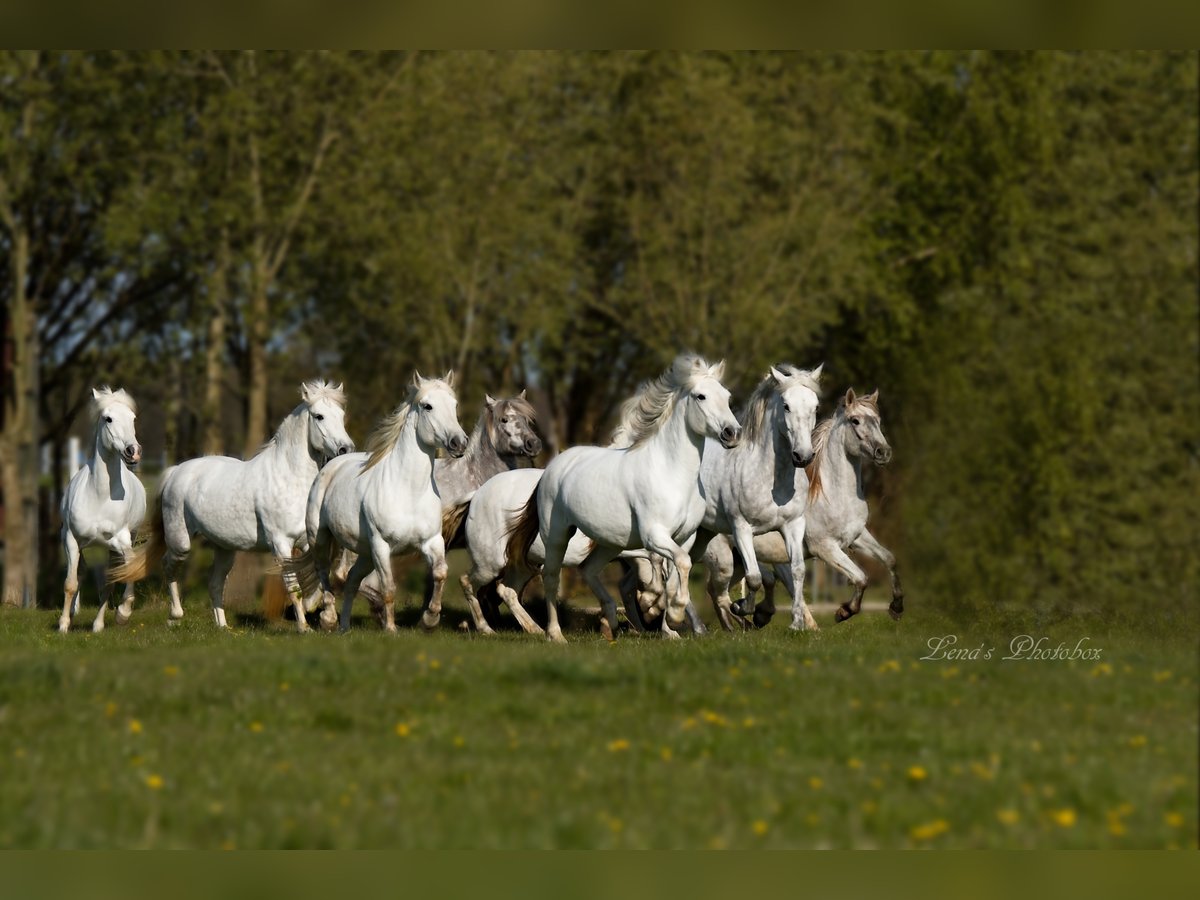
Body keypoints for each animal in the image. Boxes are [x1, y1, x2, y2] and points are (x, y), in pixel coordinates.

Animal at [58, 388, 145, 633]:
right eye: (108, 419)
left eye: (133, 419)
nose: (133, 451)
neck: (99, 496)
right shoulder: (71, 539)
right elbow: (70, 583)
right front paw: (63, 625)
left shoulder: (121, 540)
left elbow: (126, 571)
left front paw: (123, 614)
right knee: (81, 575)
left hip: (113, 547)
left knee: (107, 583)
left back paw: (98, 625)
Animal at [112, 384, 352, 628]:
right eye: (319, 416)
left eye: (341, 415)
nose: (345, 449)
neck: (288, 478)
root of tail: (176, 471)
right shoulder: (281, 543)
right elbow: (294, 588)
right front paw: (305, 627)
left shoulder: (307, 541)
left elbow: (319, 579)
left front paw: (325, 616)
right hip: (181, 542)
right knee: (168, 566)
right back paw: (172, 615)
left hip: (225, 549)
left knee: (215, 583)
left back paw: (223, 626)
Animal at [292, 374, 470, 633]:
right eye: (427, 406)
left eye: (454, 405)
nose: (459, 443)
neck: (409, 491)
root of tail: (332, 464)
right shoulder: (381, 546)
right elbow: (388, 588)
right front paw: (391, 629)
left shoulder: (432, 541)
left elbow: (440, 573)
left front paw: (429, 620)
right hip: (321, 537)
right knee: (324, 573)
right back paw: (329, 619)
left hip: (365, 554)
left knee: (351, 580)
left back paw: (344, 627)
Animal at [508, 355, 739, 643]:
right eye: (701, 396)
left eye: (727, 397)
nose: (732, 433)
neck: (672, 473)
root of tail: (553, 467)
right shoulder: (655, 536)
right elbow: (680, 566)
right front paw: (668, 613)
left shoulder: (683, 539)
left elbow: (676, 573)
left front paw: (669, 628)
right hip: (557, 533)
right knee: (551, 577)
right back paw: (555, 634)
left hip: (610, 542)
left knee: (588, 570)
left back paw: (611, 624)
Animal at [700, 388, 902, 628]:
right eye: (855, 420)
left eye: (878, 421)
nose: (884, 452)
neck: (832, 495)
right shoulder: (825, 548)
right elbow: (861, 577)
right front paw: (844, 611)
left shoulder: (857, 536)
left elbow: (889, 558)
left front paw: (897, 607)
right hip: (724, 562)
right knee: (719, 593)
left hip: (738, 562)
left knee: (721, 590)